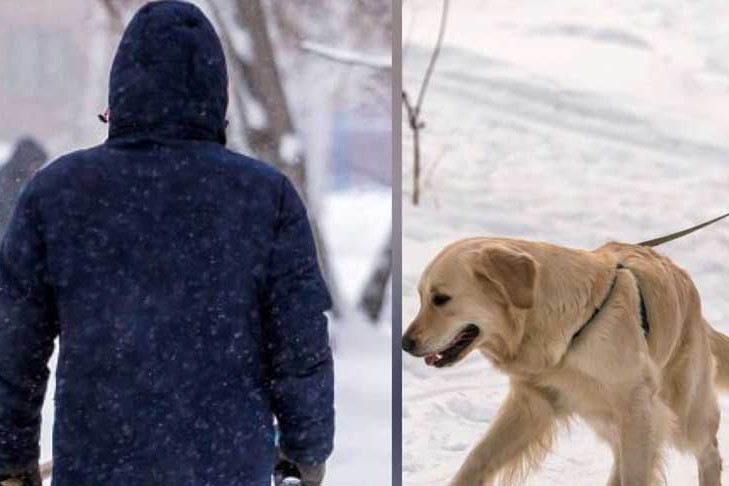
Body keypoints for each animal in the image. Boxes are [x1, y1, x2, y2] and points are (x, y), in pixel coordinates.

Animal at [400, 239, 728, 486]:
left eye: (440, 298)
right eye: (421, 297)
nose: (405, 343)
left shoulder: (637, 406)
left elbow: (636, 475)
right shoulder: (531, 403)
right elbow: (477, 459)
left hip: (684, 411)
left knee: (709, 451)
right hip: (607, 417)